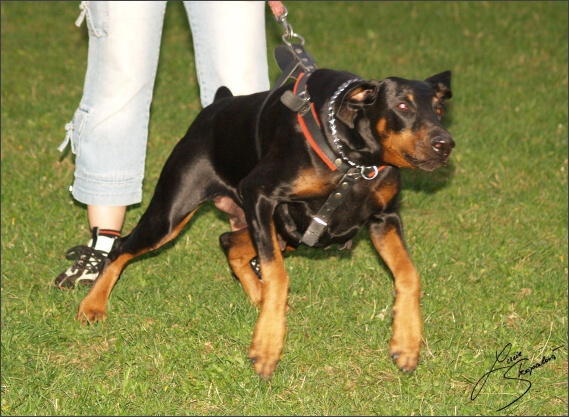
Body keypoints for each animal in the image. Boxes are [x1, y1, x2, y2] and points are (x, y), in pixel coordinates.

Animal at [77, 67, 454, 376]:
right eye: (402, 106)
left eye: (438, 110)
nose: (446, 144)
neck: (355, 161)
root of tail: (216, 106)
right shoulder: (259, 193)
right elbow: (277, 274)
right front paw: (267, 346)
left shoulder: (383, 218)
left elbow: (409, 274)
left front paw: (407, 343)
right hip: (173, 214)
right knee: (121, 247)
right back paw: (92, 306)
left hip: (283, 231)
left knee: (228, 242)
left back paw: (259, 298)